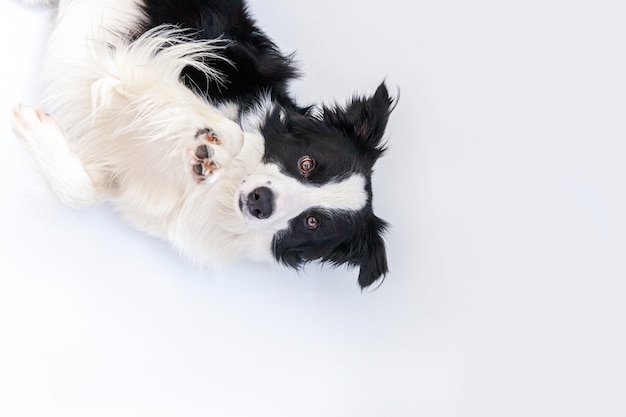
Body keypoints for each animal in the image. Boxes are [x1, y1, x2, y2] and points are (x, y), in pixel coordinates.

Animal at [12, 0, 392, 288]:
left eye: (311, 222)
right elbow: (226, 128)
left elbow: (82, 193)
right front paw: (210, 149)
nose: (261, 201)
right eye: (307, 163)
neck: (223, 186)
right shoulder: (165, 56)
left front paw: (34, 128)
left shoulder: (124, 179)